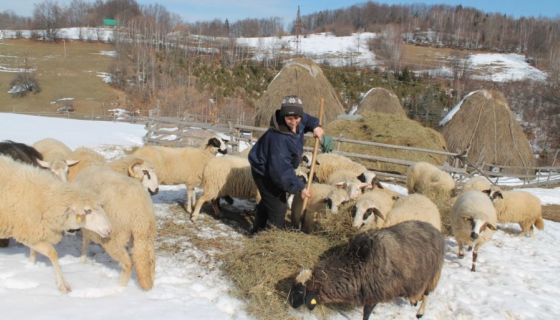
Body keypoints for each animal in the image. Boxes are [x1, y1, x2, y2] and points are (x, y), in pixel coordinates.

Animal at [0, 155, 112, 292]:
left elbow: (38, 252)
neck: (47, 200)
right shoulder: (26, 233)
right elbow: (52, 253)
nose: (109, 230)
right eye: (88, 211)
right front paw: (63, 285)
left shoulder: (34, 233)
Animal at [290, 220, 444, 320]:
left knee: (426, 294)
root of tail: (434, 229)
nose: (291, 305)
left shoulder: (374, 293)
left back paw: (420, 312)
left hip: (432, 275)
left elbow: (366, 314)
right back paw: (414, 301)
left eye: (300, 291)